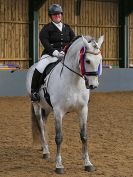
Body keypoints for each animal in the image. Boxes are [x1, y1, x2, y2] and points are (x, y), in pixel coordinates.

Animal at [25, 35, 104, 174]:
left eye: (100, 60)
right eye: (87, 60)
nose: (93, 85)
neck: (74, 81)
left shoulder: (83, 110)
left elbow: (84, 136)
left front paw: (88, 163)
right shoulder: (58, 111)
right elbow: (59, 137)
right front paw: (59, 165)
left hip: (46, 108)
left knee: (44, 124)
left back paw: (44, 147)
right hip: (36, 105)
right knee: (40, 125)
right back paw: (45, 151)